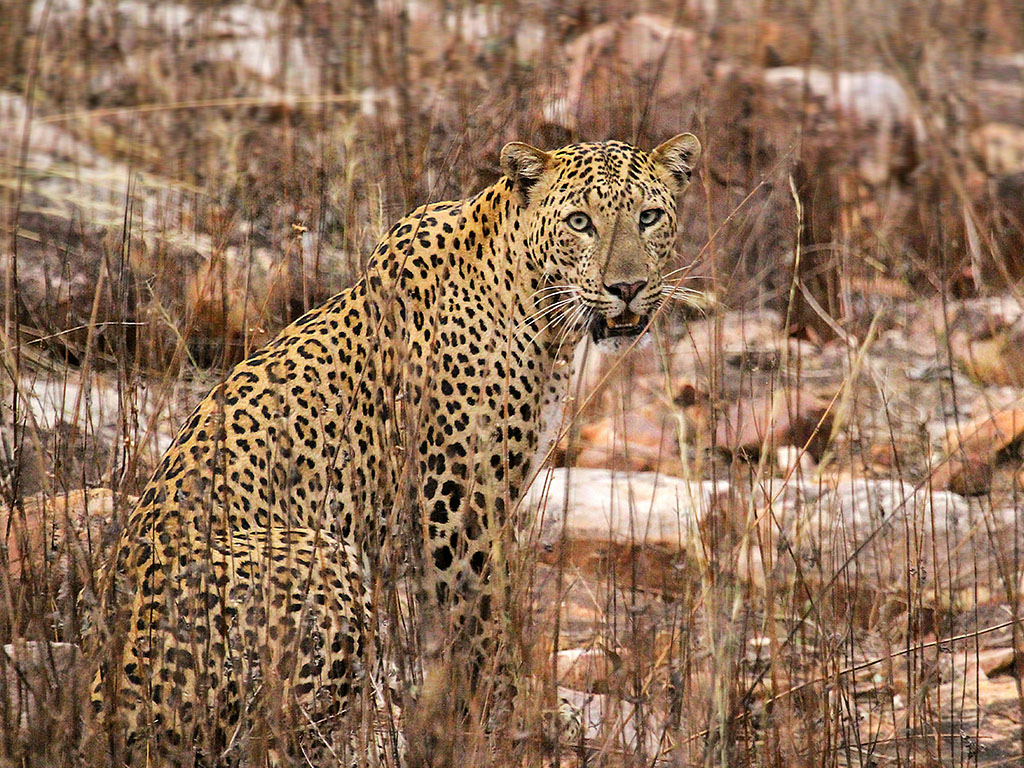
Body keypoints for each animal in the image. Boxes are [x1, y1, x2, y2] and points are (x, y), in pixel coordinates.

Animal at [87, 134, 702, 766]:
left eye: (648, 216)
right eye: (581, 222)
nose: (626, 288)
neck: (541, 314)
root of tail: (106, 703)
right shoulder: (458, 506)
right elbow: (484, 624)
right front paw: (511, 722)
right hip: (325, 560)